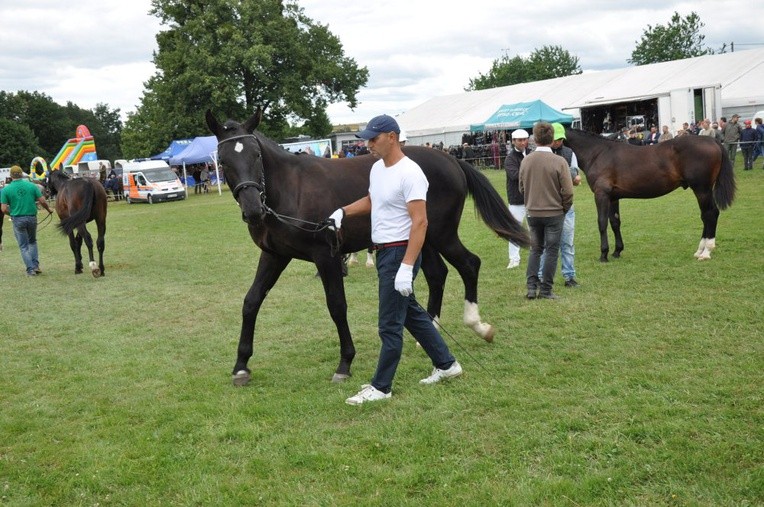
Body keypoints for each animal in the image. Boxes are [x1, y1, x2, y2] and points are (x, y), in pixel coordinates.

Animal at [209, 111, 532, 386]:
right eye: (223, 161)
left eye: (255, 155)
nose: (253, 210)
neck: (290, 188)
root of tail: (452, 161)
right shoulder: (275, 255)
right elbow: (251, 301)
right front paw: (241, 366)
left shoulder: (325, 256)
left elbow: (336, 305)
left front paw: (345, 363)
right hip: (424, 240)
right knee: (438, 275)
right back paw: (429, 332)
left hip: (441, 235)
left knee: (469, 264)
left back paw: (477, 325)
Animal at [568, 128, 736, 262]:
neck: (598, 153)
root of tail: (712, 140)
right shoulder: (613, 197)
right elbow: (615, 222)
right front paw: (617, 251)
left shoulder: (601, 194)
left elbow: (602, 223)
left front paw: (604, 254)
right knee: (707, 215)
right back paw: (700, 250)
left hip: (702, 190)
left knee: (710, 214)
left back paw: (706, 252)